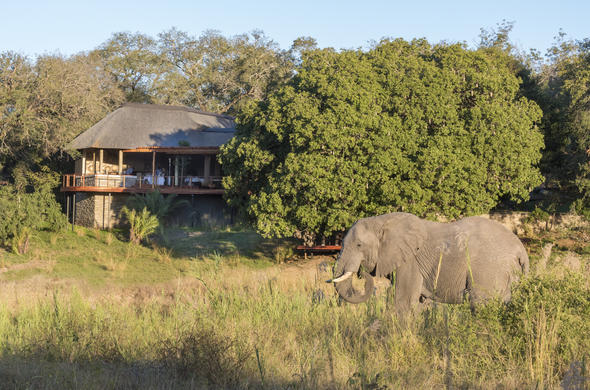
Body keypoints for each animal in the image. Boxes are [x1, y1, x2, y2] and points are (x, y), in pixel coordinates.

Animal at [330, 212, 528, 312]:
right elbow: (416, 303)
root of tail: (521, 249)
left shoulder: (410, 262)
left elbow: (403, 301)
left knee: (481, 305)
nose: (361, 272)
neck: (382, 220)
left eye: (359, 245)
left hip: (490, 271)